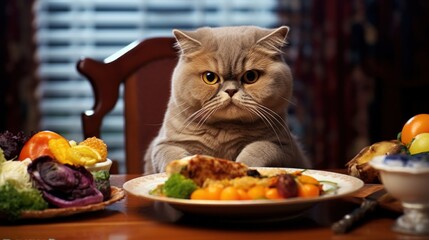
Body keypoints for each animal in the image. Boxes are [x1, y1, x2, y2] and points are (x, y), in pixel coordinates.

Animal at [144, 25, 310, 174]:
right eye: (210, 77)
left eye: (251, 76)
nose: (231, 90)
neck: (225, 130)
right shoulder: (162, 145)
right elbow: (171, 155)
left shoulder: (284, 148)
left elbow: (259, 148)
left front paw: (242, 166)